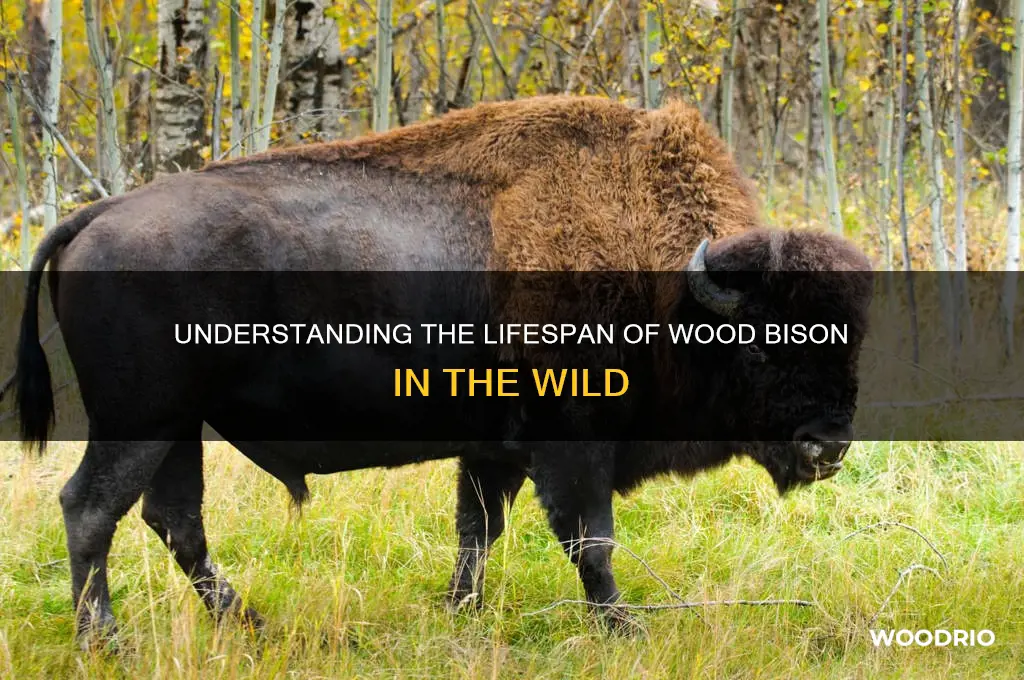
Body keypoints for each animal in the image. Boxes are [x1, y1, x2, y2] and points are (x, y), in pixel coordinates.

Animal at [7, 96, 873, 640]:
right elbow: (589, 540)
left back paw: (249, 624)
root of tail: (97, 216)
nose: (829, 446)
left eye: (853, 339)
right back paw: (105, 641)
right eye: (764, 341)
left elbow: (477, 531)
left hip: (178, 428)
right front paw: (622, 628)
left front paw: (462, 612)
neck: (672, 293)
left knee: (173, 520)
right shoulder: (573, 446)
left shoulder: (492, 448)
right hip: (140, 423)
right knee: (92, 509)